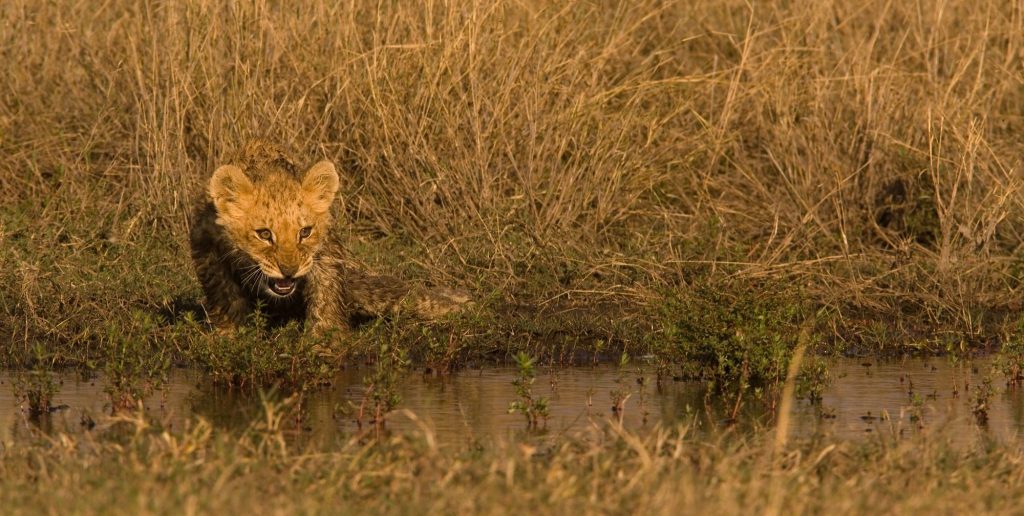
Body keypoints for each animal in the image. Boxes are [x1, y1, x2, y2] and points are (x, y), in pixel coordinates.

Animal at [188, 140, 470, 335]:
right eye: (264, 234)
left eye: (305, 232)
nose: (289, 271)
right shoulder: (206, 245)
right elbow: (225, 296)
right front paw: (231, 334)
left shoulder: (327, 251)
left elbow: (326, 296)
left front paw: (325, 342)